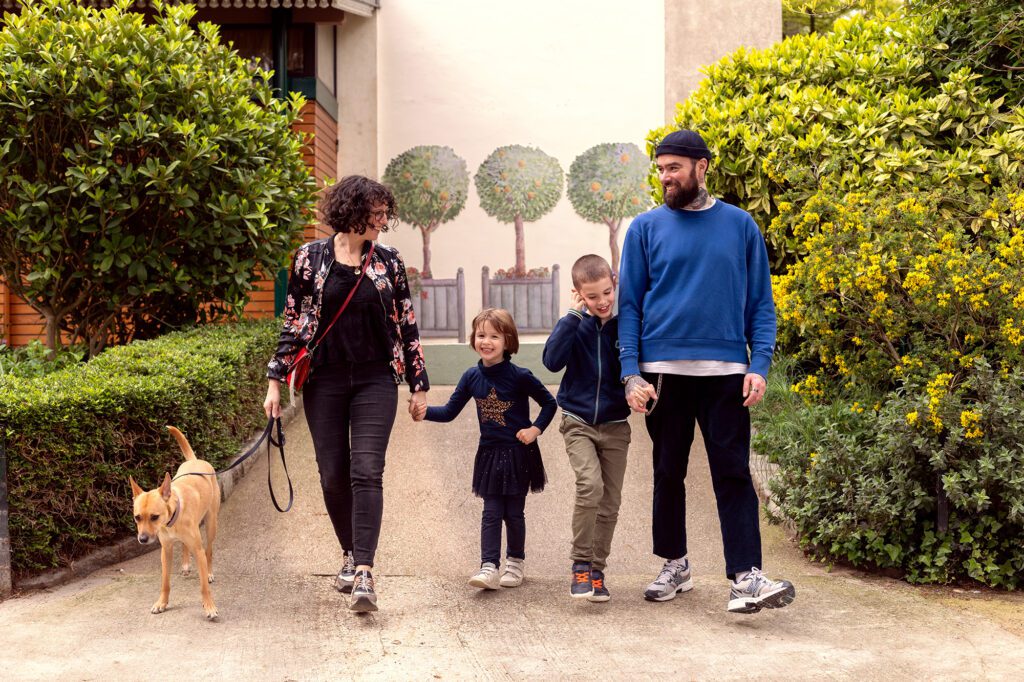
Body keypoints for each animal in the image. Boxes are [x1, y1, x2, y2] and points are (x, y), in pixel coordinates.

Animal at [130, 428, 220, 618]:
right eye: (137, 517)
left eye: (154, 517)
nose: (142, 539)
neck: (171, 520)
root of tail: (195, 460)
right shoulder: (166, 551)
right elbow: (165, 582)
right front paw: (162, 603)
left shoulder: (198, 551)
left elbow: (203, 586)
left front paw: (209, 606)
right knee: (185, 545)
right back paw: (185, 564)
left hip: (211, 524)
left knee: (209, 550)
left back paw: (209, 572)